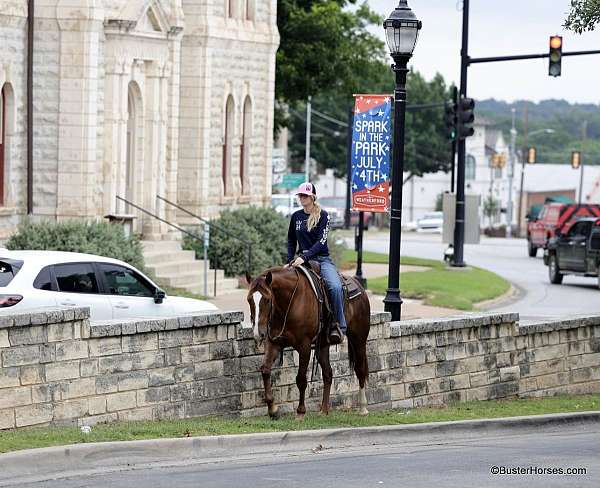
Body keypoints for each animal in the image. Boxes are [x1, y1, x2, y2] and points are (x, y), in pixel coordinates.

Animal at [245, 266, 370, 420]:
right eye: (249, 299)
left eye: (267, 300)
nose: (258, 333)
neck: (289, 303)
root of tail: (360, 287)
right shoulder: (273, 343)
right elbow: (265, 370)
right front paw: (273, 409)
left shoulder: (304, 346)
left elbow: (301, 379)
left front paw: (300, 412)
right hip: (323, 346)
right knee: (328, 374)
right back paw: (324, 409)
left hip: (359, 339)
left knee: (360, 369)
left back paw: (363, 408)